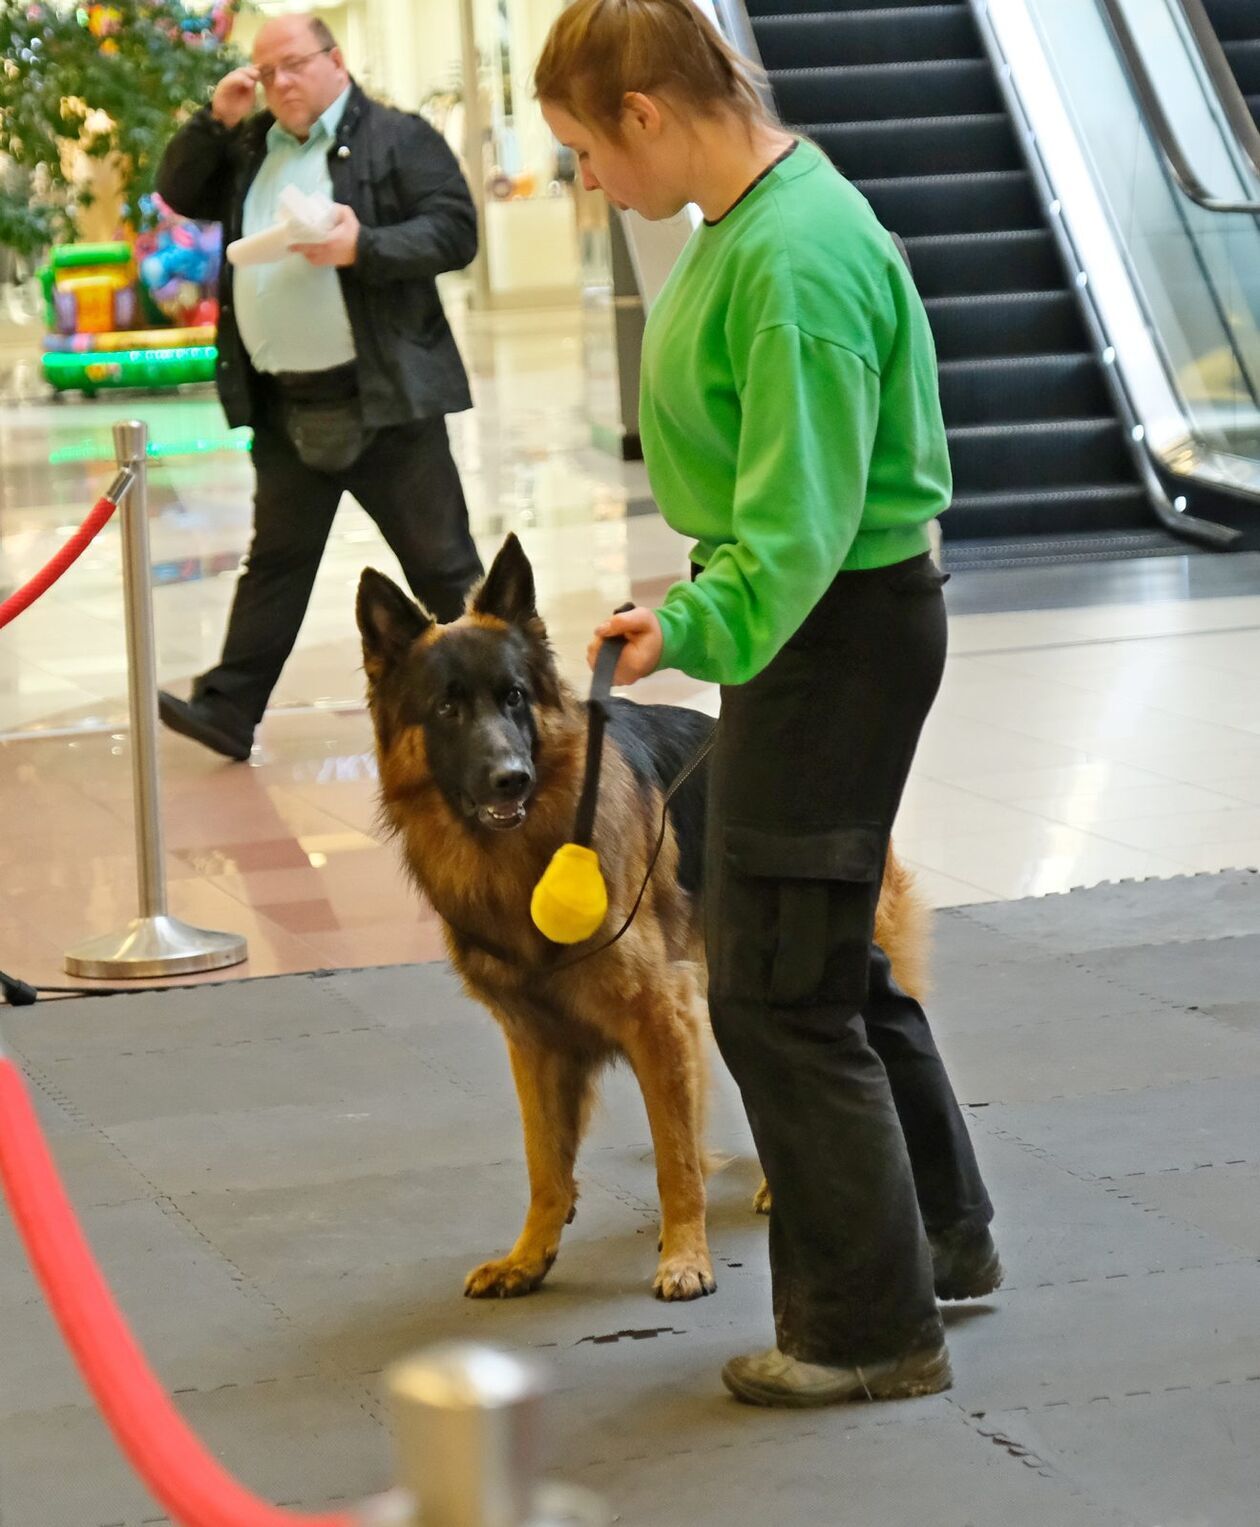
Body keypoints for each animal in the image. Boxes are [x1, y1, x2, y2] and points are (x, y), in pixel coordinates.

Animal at [354, 534, 922, 1301]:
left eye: (514, 697)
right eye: (447, 707)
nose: (511, 778)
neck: (521, 861)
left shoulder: (659, 1017)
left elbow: (674, 1157)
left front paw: (685, 1254)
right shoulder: (535, 1041)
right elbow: (544, 1163)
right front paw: (529, 1255)